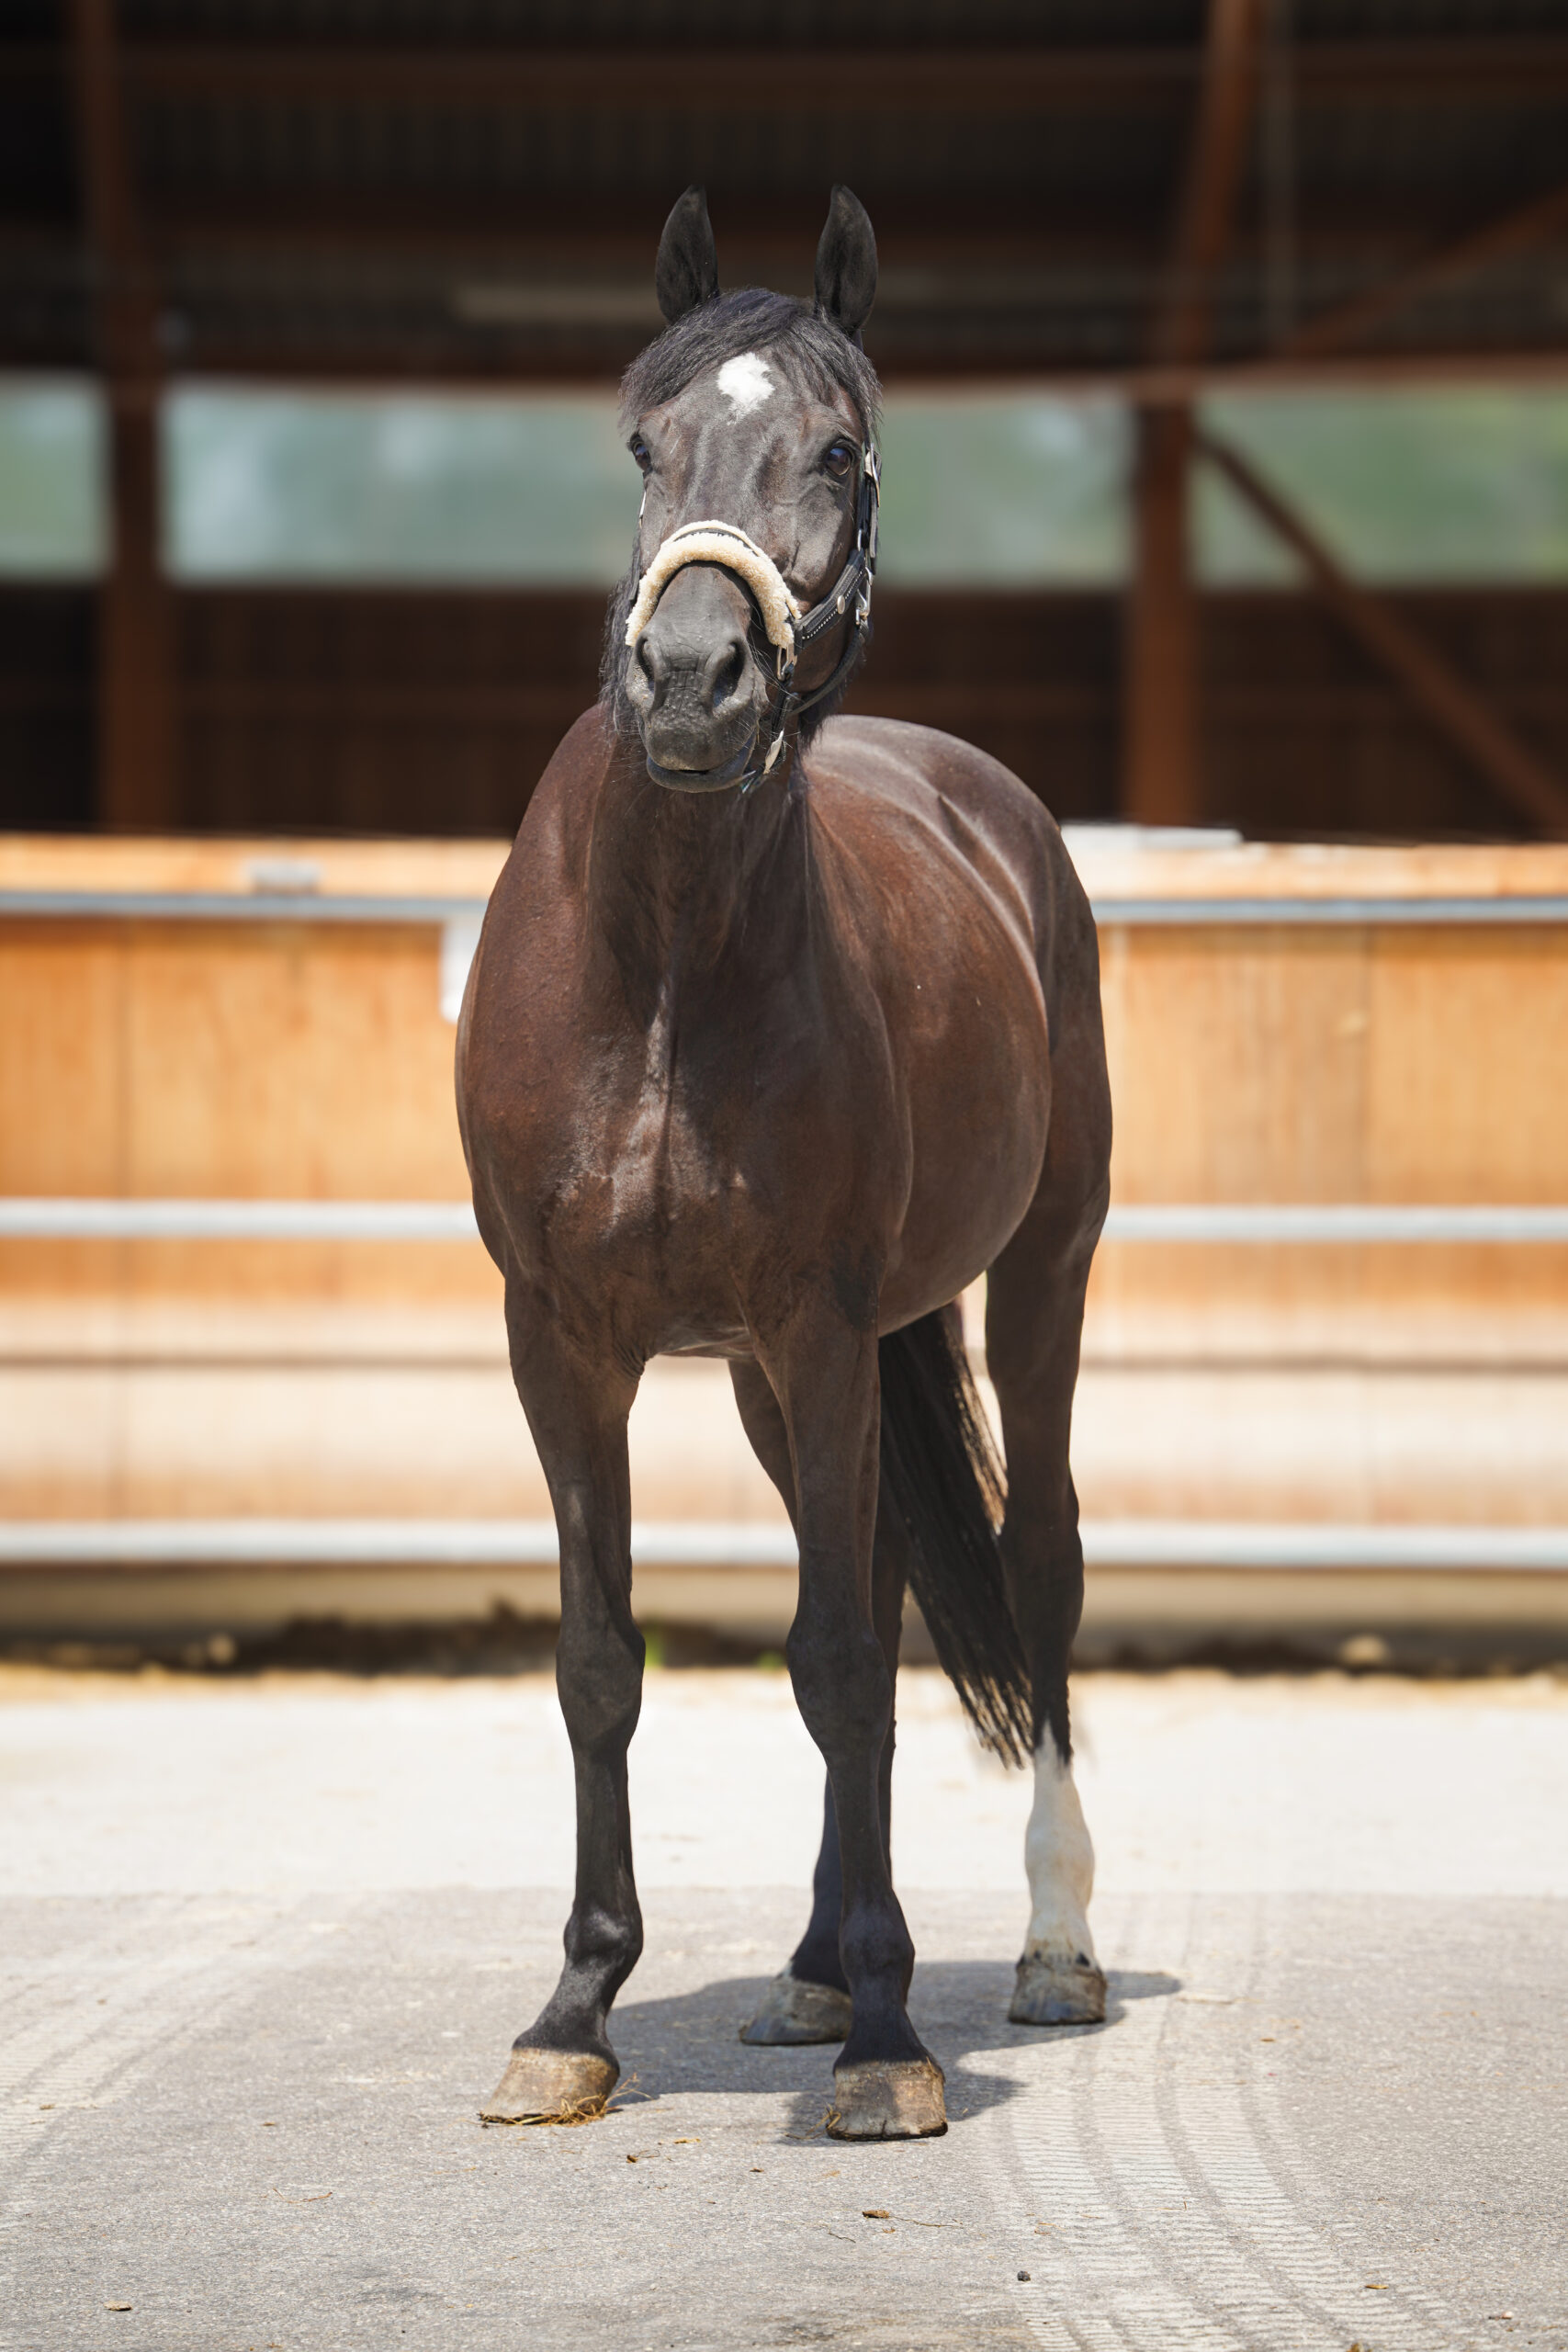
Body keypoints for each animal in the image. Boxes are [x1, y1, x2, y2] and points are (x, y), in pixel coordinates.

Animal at [455, 184, 1112, 2142]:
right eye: (641, 442)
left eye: (838, 448)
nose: (691, 681)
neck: (664, 960)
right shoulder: (567, 1343)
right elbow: (606, 1658)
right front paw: (577, 2010)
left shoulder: (824, 1329)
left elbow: (830, 1660)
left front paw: (893, 2045)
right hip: (768, 1376)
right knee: (882, 1589)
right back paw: (816, 1970)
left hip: (1038, 1276)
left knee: (1031, 1562)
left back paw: (1047, 1948)